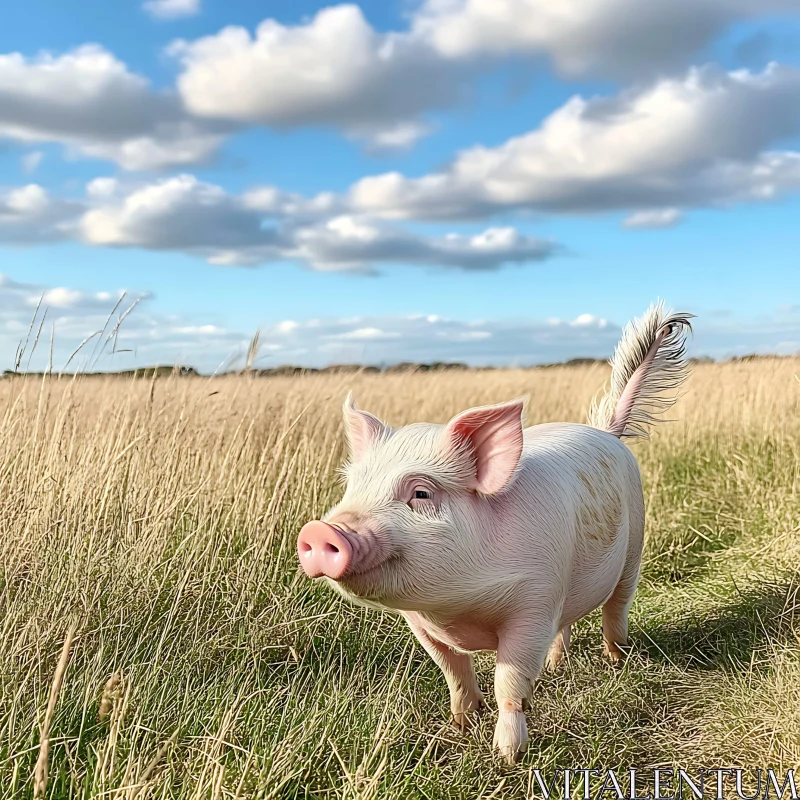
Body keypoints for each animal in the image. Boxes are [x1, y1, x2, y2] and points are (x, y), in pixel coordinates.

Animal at [296, 302, 692, 764]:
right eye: (352, 486)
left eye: (421, 492)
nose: (321, 529)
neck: (457, 609)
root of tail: (607, 432)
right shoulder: (421, 622)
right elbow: (453, 671)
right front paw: (462, 725)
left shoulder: (534, 601)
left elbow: (511, 682)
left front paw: (507, 756)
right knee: (568, 622)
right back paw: (558, 665)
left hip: (635, 548)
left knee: (617, 608)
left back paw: (616, 660)